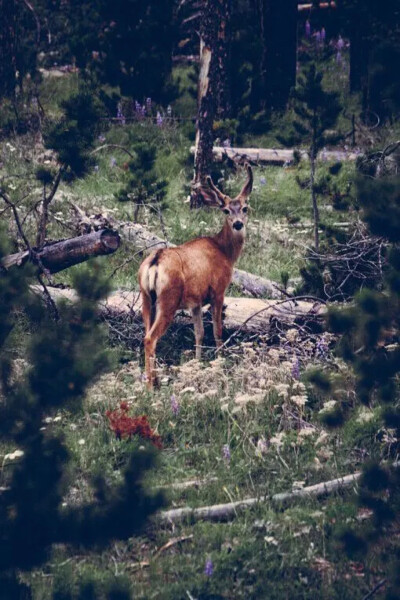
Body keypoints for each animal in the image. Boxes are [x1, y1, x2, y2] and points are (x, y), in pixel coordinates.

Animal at [139, 164, 253, 390]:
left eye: (245, 208)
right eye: (226, 210)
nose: (237, 224)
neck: (225, 252)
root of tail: (155, 261)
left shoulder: (195, 301)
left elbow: (198, 333)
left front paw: (198, 364)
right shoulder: (218, 291)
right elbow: (217, 331)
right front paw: (220, 362)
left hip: (146, 299)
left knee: (145, 333)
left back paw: (154, 380)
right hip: (168, 299)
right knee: (150, 338)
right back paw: (151, 387)